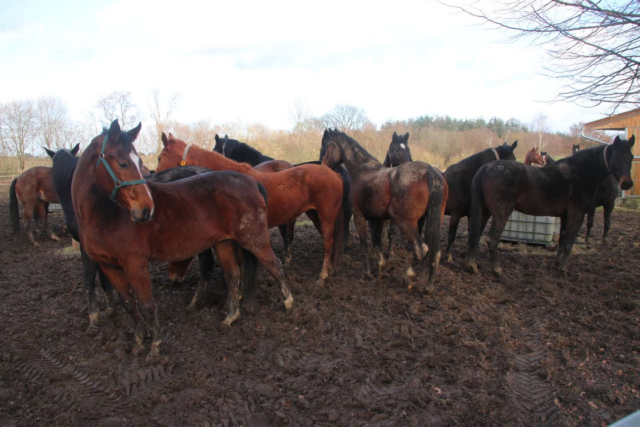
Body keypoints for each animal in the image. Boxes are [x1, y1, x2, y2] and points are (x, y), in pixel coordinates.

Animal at [72, 122, 292, 360]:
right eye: (122, 162)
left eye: (138, 162)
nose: (146, 210)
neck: (105, 214)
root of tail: (253, 182)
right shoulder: (110, 266)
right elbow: (129, 304)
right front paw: (139, 342)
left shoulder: (135, 264)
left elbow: (146, 304)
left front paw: (155, 345)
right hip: (224, 243)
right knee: (233, 275)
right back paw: (230, 317)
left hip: (254, 240)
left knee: (275, 265)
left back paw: (288, 303)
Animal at [156, 133, 344, 288]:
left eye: (159, 158)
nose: (154, 178)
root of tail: (334, 174)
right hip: (315, 214)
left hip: (326, 216)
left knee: (328, 242)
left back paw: (322, 277)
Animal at [320, 129, 450, 290]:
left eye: (328, 146)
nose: (324, 164)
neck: (362, 169)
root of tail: (430, 172)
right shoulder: (378, 218)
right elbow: (377, 241)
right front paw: (381, 267)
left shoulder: (359, 216)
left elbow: (365, 243)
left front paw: (367, 273)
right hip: (433, 220)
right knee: (435, 252)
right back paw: (429, 285)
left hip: (404, 221)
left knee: (421, 249)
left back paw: (411, 275)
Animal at [464, 137, 636, 278]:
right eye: (616, 157)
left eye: (631, 157)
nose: (627, 183)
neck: (580, 173)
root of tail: (485, 168)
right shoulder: (577, 214)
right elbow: (569, 242)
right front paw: (563, 269)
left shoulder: (565, 215)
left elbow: (562, 239)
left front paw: (557, 262)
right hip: (501, 213)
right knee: (492, 239)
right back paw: (497, 269)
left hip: (485, 211)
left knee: (476, 234)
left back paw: (472, 264)